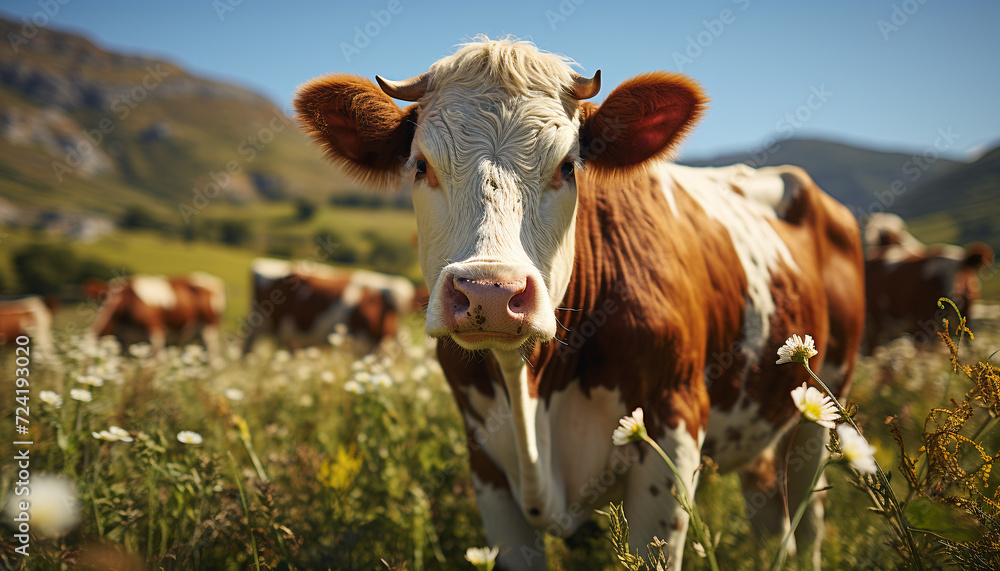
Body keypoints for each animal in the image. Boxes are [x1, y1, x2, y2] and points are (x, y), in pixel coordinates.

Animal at [88, 272, 227, 356]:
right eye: (100, 298)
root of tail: (214, 281)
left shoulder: (156, 332)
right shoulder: (124, 340)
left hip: (209, 329)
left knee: (214, 357)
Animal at [292, 38, 864, 568]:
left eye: (568, 166)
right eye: (420, 166)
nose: (490, 292)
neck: (532, 391)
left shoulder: (674, 427)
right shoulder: (486, 462)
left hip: (819, 405)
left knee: (807, 521)